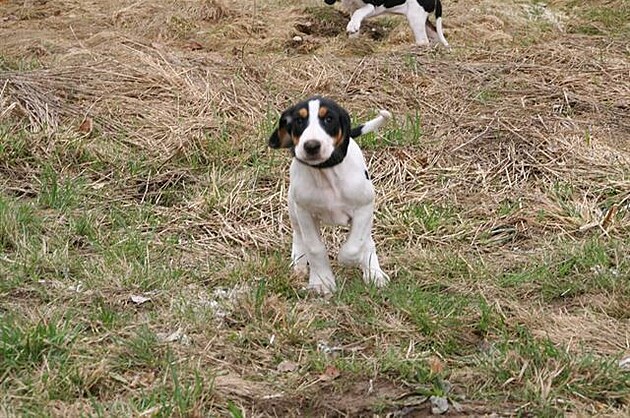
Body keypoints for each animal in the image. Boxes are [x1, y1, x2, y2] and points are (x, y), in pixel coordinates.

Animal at [270, 97, 392, 294]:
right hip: (292, 206)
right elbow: (315, 248)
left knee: (367, 241)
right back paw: (299, 264)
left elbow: (354, 247)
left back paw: (374, 273)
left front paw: (350, 260)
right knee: (298, 235)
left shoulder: (364, 207)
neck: (325, 173)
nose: (311, 146)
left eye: (328, 119)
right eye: (299, 121)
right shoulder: (305, 213)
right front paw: (321, 282)